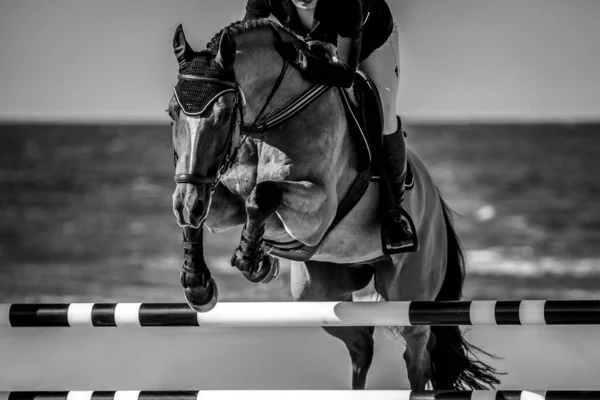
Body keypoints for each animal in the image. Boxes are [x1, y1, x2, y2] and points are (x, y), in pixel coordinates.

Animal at [166, 18, 500, 390]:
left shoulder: (317, 208)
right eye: (172, 113)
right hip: (317, 294)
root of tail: (434, 198)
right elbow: (212, 211)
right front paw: (198, 284)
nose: (186, 202)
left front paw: (252, 261)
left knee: (418, 356)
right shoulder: (220, 198)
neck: (274, 118)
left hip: (409, 292)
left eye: (224, 116)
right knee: (361, 343)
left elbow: (264, 194)